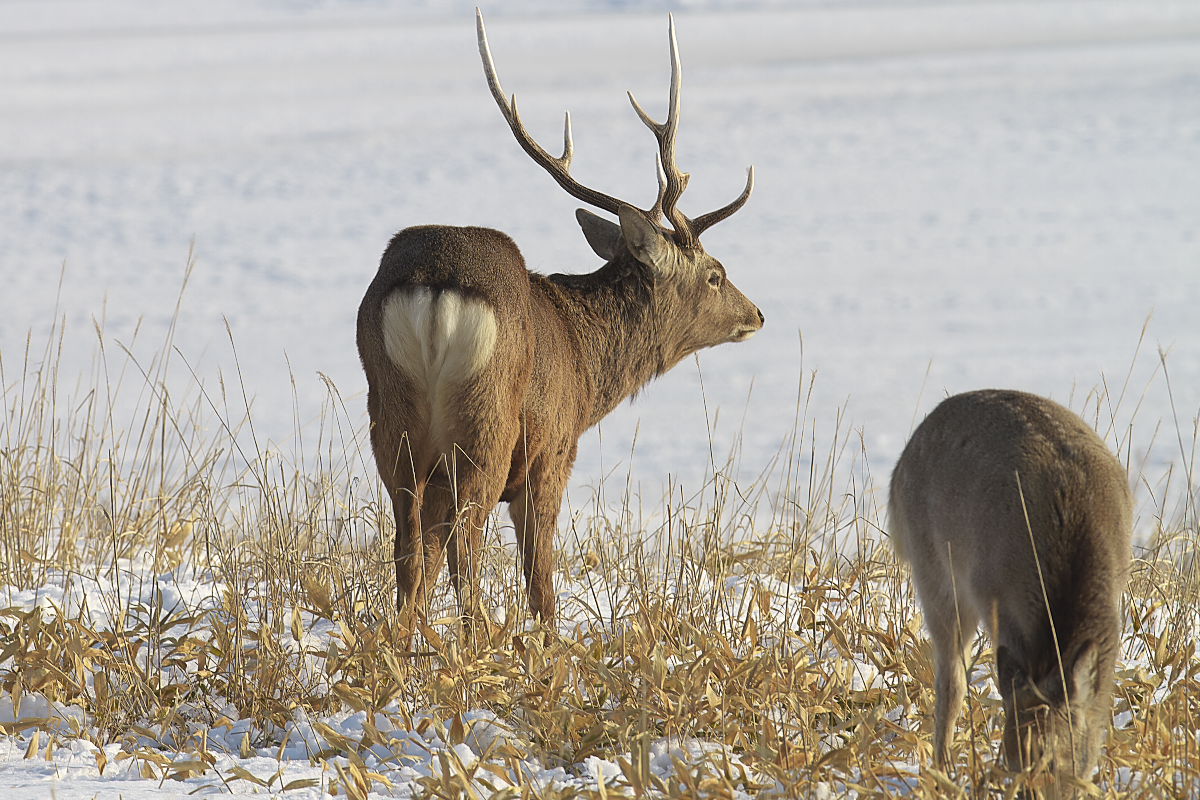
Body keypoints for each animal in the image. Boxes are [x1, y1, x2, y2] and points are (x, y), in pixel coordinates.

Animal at [357, 12, 768, 638]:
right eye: (716, 274)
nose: (757, 315)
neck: (585, 361)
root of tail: (433, 284)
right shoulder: (553, 449)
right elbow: (539, 574)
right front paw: (550, 643)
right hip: (488, 421)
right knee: (464, 547)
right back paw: (477, 639)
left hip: (391, 415)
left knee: (409, 547)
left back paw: (407, 643)